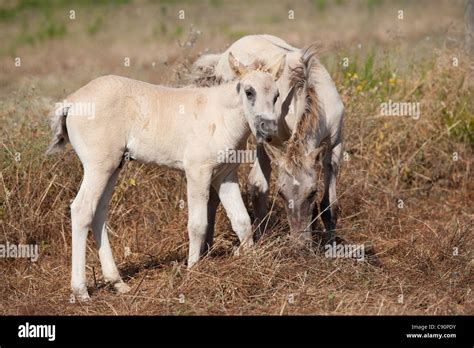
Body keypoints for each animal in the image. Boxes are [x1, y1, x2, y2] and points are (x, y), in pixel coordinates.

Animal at [47, 53, 286, 300]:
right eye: (249, 92)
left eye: (276, 95)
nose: (268, 129)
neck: (221, 115)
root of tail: (71, 102)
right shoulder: (198, 172)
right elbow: (198, 225)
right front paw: (193, 271)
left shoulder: (225, 175)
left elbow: (242, 221)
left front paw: (253, 263)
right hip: (99, 166)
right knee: (82, 210)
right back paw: (81, 291)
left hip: (113, 166)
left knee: (99, 212)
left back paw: (117, 282)